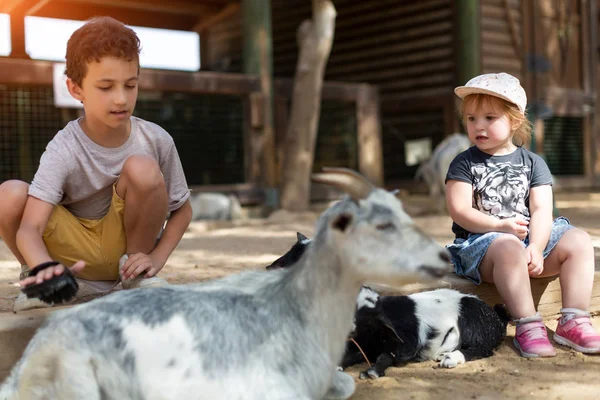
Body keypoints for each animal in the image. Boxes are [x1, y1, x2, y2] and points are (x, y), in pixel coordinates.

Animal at [270, 233, 508, 380]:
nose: (271, 266)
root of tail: (497, 317)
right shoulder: (363, 344)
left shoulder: (405, 343)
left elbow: (387, 356)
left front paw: (372, 372)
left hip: (473, 324)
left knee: (482, 349)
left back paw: (450, 358)